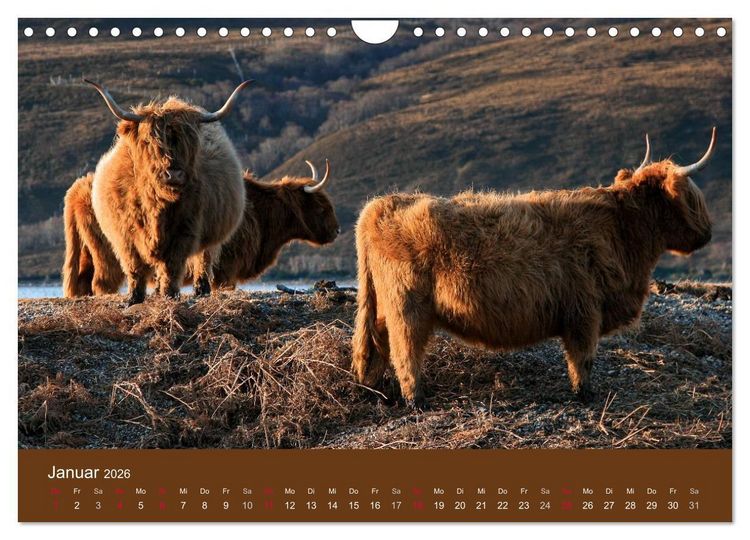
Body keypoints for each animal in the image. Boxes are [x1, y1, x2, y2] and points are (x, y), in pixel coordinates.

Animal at [62, 160, 339, 295]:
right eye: (322, 208)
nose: (337, 231)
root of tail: (77, 189)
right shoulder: (227, 270)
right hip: (110, 255)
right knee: (101, 283)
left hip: (87, 251)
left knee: (83, 281)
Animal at [84, 79, 251, 304]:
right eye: (149, 141)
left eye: (191, 143)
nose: (174, 174)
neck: (158, 205)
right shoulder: (125, 235)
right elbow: (135, 267)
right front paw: (134, 298)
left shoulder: (185, 231)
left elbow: (172, 266)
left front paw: (170, 294)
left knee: (203, 260)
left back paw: (201, 290)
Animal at [352, 129, 716, 409]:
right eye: (692, 196)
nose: (709, 233)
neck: (623, 229)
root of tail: (381, 203)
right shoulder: (585, 311)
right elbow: (583, 358)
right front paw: (585, 394)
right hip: (407, 306)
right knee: (405, 351)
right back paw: (416, 400)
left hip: (386, 305)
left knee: (377, 340)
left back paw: (378, 390)